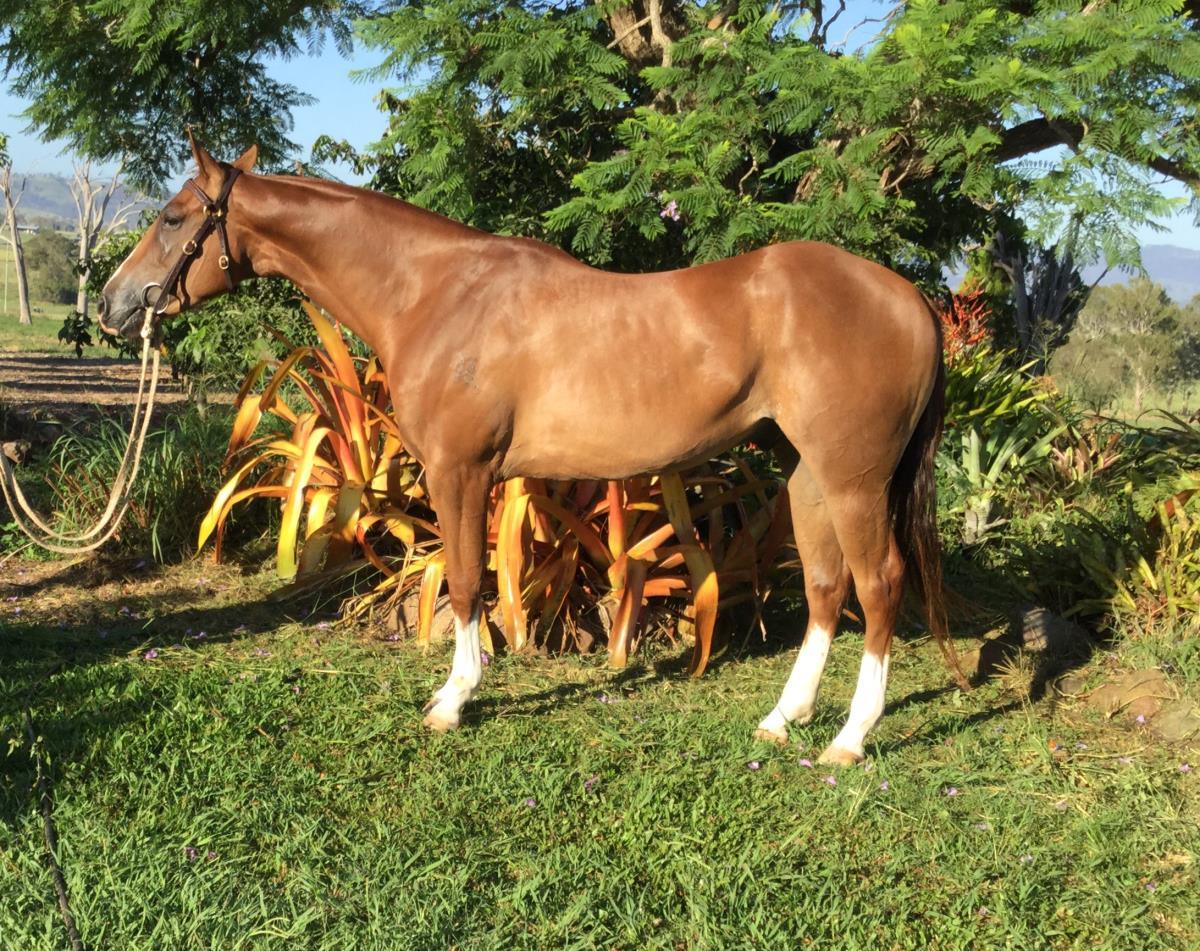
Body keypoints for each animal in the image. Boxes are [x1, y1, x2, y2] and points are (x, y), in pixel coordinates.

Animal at [99, 133, 966, 766]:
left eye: (173, 216)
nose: (111, 303)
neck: (434, 292)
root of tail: (909, 297)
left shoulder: (459, 472)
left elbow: (463, 580)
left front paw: (453, 700)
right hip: (806, 473)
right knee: (825, 586)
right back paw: (784, 718)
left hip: (854, 479)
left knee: (878, 584)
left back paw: (849, 738)